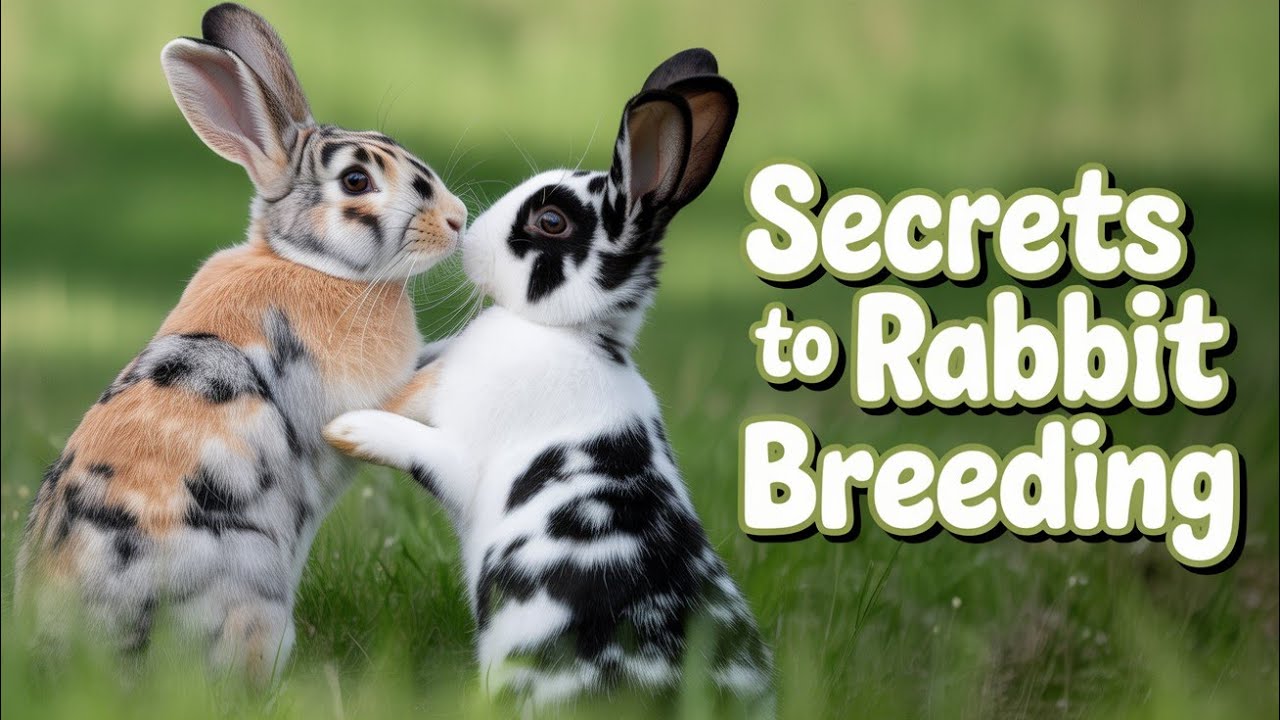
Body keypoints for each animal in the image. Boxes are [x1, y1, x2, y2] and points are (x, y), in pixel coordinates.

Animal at [323, 49, 774, 716]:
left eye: (551, 221)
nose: (467, 233)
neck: (570, 335)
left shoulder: (465, 465)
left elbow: (419, 447)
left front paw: (349, 428)